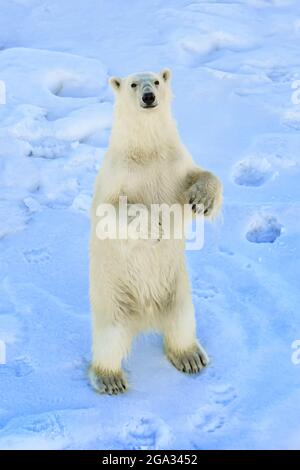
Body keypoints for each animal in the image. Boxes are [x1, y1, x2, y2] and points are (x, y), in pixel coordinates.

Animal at [89, 69, 223, 392]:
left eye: (158, 81)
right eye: (133, 84)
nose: (149, 96)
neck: (146, 151)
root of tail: (146, 317)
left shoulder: (176, 165)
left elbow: (202, 174)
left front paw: (202, 200)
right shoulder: (118, 175)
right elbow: (111, 210)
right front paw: (154, 226)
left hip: (177, 292)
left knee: (182, 323)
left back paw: (191, 357)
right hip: (113, 297)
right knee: (109, 339)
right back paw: (110, 378)